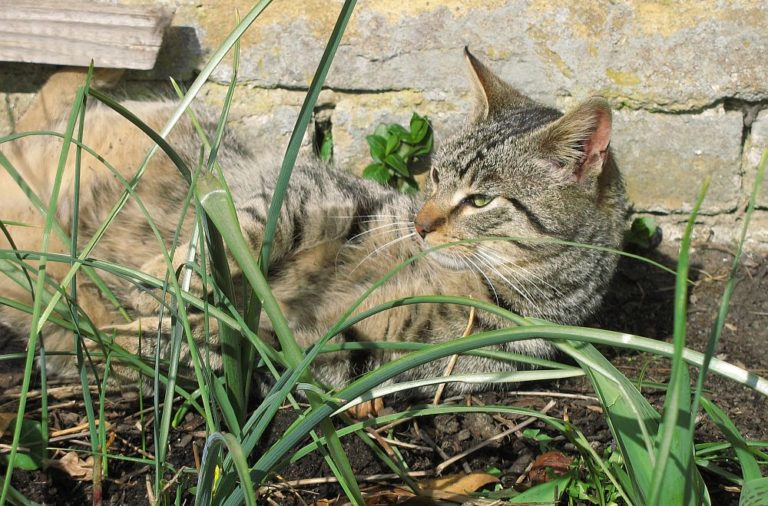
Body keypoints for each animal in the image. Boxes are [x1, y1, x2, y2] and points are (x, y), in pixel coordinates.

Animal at [0, 50, 624, 396]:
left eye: (480, 200)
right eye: (433, 176)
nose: (422, 224)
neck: (469, 283)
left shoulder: (370, 356)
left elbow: (244, 344)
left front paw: (136, 332)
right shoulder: (319, 191)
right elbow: (253, 228)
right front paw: (166, 277)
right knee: (43, 104)